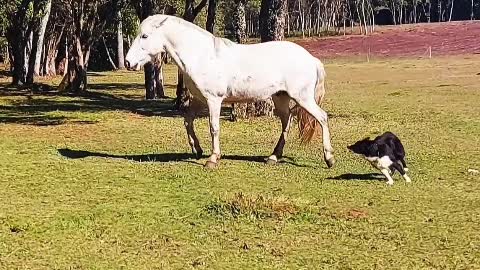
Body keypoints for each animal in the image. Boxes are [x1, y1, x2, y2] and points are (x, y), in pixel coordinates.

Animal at [124, 14, 334, 168]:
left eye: (144, 36)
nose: (127, 62)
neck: (202, 55)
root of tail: (311, 59)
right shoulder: (199, 100)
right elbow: (187, 121)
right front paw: (197, 150)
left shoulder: (213, 100)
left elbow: (214, 127)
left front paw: (212, 159)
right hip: (280, 98)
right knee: (287, 122)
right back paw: (273, 157)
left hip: (303, 98)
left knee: (322, 117)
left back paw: (329, 158)